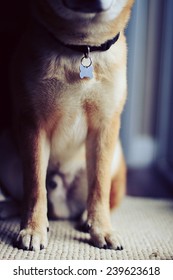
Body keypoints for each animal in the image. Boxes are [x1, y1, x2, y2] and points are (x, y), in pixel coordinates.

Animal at [0, 0, 134, 249]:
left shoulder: (104, 128)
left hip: (115, 155)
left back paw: (86, 218)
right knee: (24, 197)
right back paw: (9, 208)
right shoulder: (34, 124)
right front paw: (33, 228)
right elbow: (35, 187)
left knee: (103, 198)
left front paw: (102, 230)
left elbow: (99, 188)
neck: (82, 47)